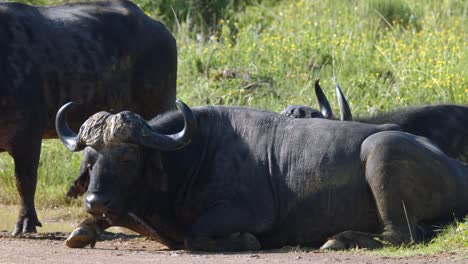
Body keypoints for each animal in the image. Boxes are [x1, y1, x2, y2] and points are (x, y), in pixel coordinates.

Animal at [55, 100, 468, 251]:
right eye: (91, 158)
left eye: (127, 158)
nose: (95, 199)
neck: (190, 156)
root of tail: (457, 168)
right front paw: (84, 229)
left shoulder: (250, 213)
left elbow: (194, 234)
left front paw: (243, 241)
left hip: (381, 151)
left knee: (402, 234)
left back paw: (340, 239)